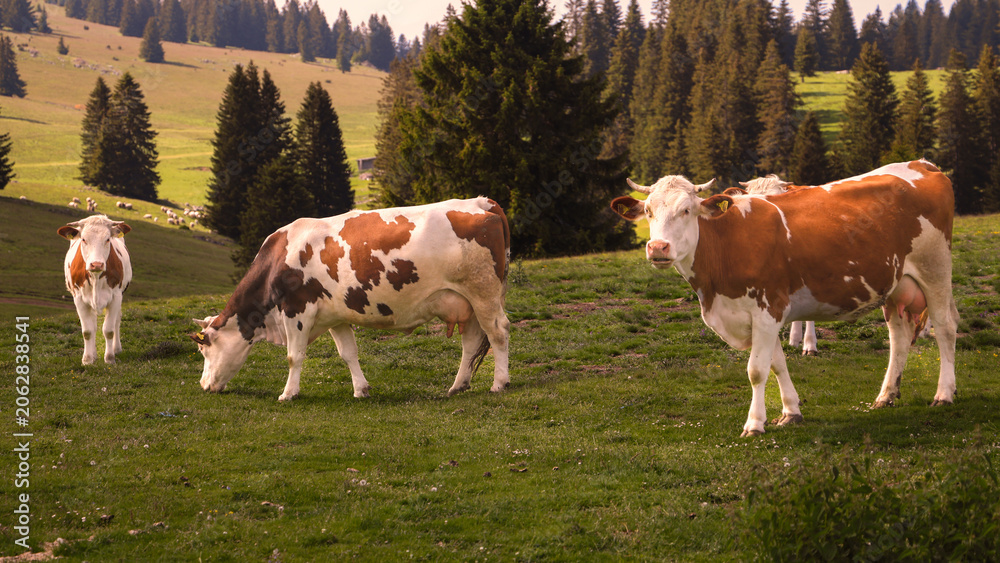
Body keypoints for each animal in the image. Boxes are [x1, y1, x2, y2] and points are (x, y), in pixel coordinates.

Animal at [58, 215, 133, 365]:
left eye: (108, 239)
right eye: (83, 239)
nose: (96, 264)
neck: (96, 277)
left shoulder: (116, 297)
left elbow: (109, 330)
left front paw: (109, 358)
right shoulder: (79, 299)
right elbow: (88, 331)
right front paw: (87, 359)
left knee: (116, 321)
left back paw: (116, 349)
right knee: (92, 323)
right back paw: (93, 354)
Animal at [191, 197, 511, 402]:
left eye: (204, 350)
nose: (203, 385)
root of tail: (482, 202)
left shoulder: (296, 310)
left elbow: (294, 356)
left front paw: (288, 393)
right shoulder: (335, 316)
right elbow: (348, 353)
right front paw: (361, 390)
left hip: (483, 292)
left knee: (498, 332)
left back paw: (499, 383)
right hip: (467, 302)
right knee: (471, 342)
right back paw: (458, 386)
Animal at [611, 160, 958, 436]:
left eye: (686, 210)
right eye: (647, 211)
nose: (658, 248)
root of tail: (921, 164)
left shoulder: (767, 307)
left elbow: (756, 369)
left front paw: (754, 424)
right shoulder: (762, 314)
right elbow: (776, 363)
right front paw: (791, 411)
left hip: (936, 268)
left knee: (945, 328)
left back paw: (944, 393)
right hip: (895, 282)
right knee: (899, 336)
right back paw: (886, 395)